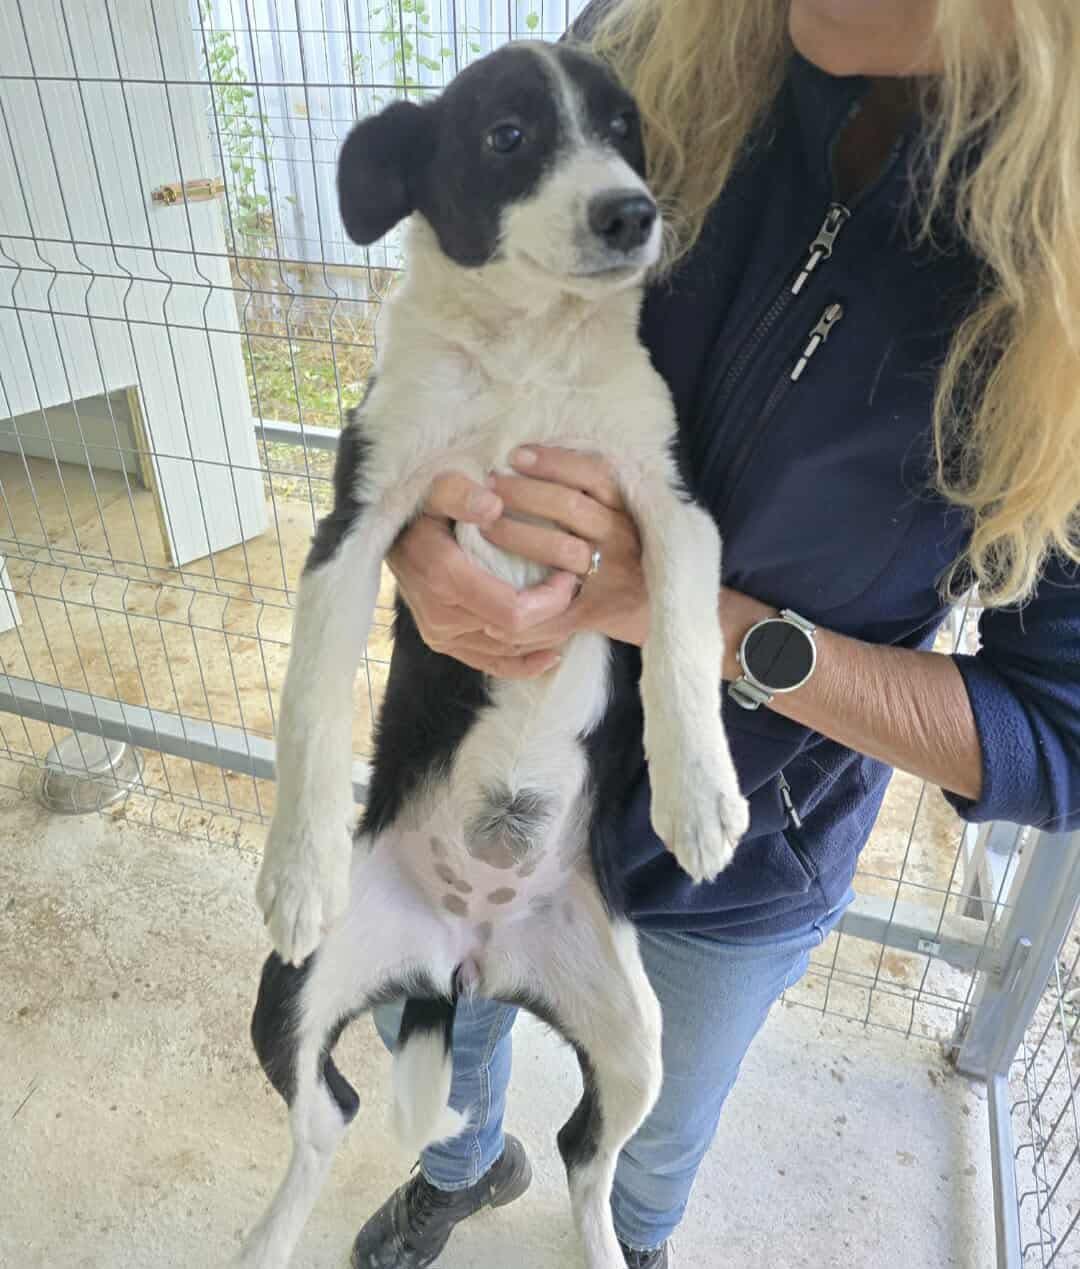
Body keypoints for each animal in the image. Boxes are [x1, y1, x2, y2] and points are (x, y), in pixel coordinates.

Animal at [238, 39, 748, 1269]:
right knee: (326, 1117)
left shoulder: (670, 510)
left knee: (583, 1154)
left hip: (637, 1041)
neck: (530, 350)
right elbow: (309, 707)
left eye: (624, 129)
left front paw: (700, 797)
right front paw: (296, 868)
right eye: (507, 137)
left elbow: (680, 634)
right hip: (291, 995)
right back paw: (269, 1240)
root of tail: (472, 956)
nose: (631, 213)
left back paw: (608, 1248)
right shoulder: (353, 532)